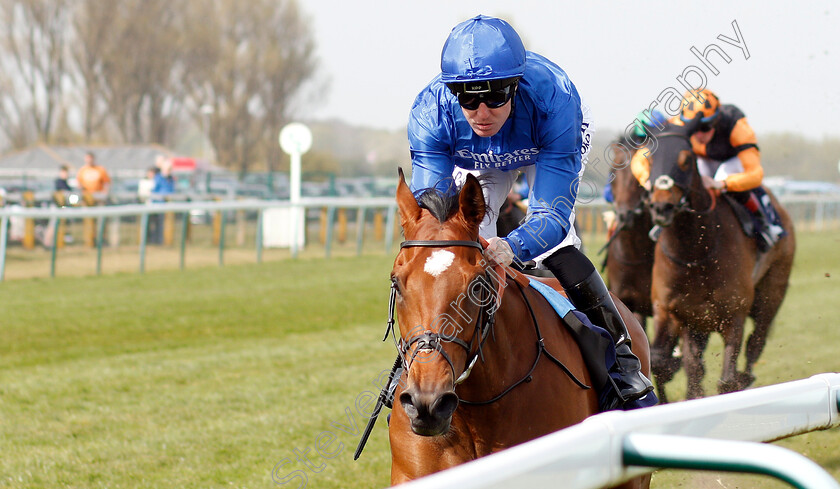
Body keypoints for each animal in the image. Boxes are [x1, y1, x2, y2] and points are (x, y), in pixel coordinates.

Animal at [644, 118, 796, 400]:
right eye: (648, 159)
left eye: (685, 159)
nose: (661, 208)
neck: (694, 252)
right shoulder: (670, 310)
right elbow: (662, 362)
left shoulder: (734, 314)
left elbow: (726, 380)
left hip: (772, 292)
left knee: (756, 341)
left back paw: (746, 375)